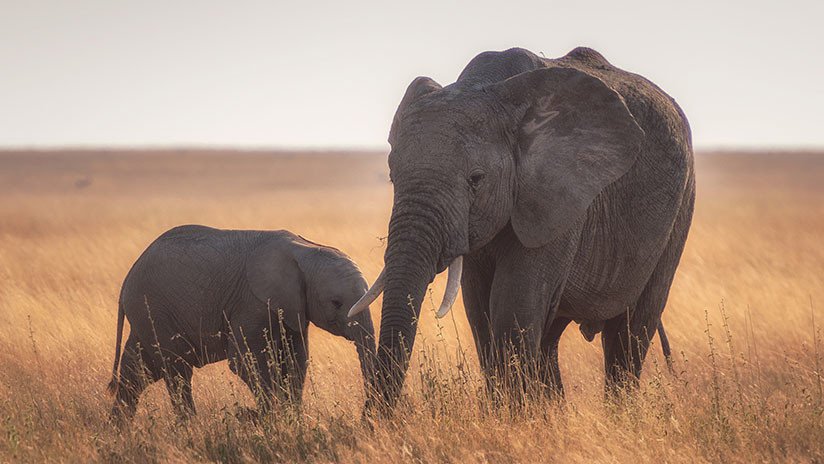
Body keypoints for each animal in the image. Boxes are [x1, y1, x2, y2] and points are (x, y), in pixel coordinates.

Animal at [107, 225, 376, 420]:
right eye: (336, 302)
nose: (366, 415)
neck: (306, 249)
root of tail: (127, 279)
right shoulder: (251, 303)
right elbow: (246, 361)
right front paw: (271, 420)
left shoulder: (292, 308)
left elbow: (296, 360)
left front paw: (291, 420)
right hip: (154, 309)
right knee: (177, 371)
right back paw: (190, 428)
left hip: (147, 316)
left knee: (137, 372)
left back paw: (119, 432)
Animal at [348, 47, 694, 410]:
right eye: (392, 176)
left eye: (476, 179)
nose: (373, 419)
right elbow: (480, 310)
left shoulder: (560, 196)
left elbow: (513, 307)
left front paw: (514, 417)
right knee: (550, 337)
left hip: (681, 208)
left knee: (630, 332)